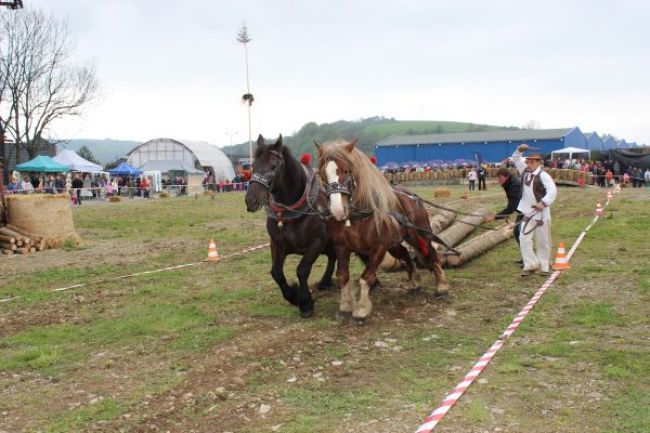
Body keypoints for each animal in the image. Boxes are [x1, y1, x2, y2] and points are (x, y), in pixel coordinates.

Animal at [243, 133, 334, 316]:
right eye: (253, 166)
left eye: (273, 166)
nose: (251, 200)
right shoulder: (276, 244)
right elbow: (276, 272)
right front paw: (292, 295)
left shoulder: (317, 243)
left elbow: (302, 270)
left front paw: (305, 302)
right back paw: (326, 282)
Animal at [314, 138, 446, 320]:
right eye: (322, 174)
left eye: (346, 170)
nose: (338, 210)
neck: (355, 217)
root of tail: (412, 196)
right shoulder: (342, 248)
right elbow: (343, 276)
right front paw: (345, 305)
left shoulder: (378, 248)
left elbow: (366, 277)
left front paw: (361, 309)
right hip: (395, 243)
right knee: (405, 255)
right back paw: (415, 281)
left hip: (418, 234)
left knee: (431, 254)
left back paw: (441, 286)